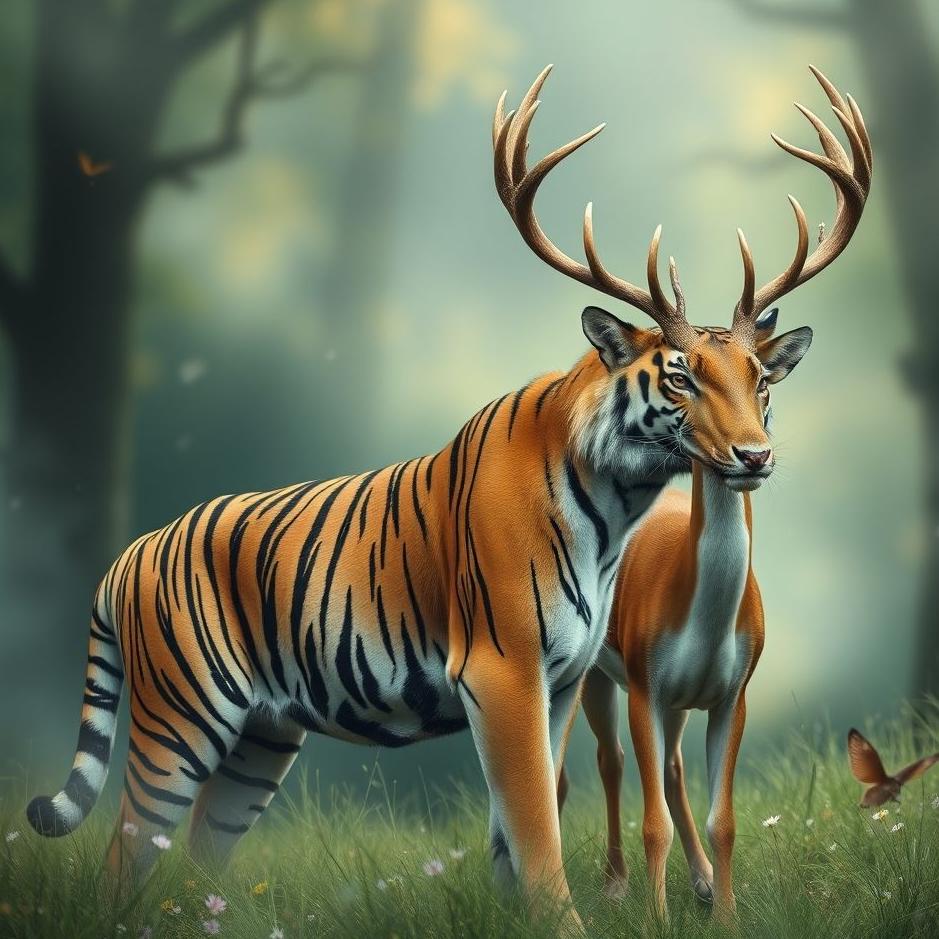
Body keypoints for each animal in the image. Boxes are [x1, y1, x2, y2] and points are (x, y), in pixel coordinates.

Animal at [553, 65, 872, 923]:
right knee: (604, 764)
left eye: (761, 378)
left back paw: (694, 883)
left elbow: (722, 815)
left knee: (663, 772)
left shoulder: (734, 691)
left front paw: (723, 911)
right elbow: (650, 812)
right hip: (598, 669)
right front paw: (653, 915)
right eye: (681, 377)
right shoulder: (642, 679)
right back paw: (615, 883)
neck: (697, 628)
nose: (751, 455)